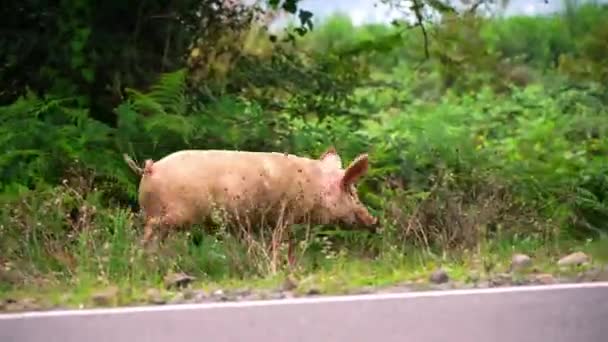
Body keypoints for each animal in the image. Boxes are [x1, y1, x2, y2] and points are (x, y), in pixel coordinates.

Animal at [124, 146, 378, 246]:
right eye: (351, 191)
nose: (375, 221)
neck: (315, 186)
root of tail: (150, 168)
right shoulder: (285, 215)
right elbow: (282, 241)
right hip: (174, 213)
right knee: (150, 230)